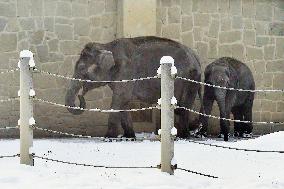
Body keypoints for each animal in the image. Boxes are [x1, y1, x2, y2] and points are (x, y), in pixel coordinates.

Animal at [64, 36, 202, 138]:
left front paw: (108, 137)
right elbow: (124, 103)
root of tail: (196, 57)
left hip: (189, 79)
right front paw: (128, 137)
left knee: (183, 107)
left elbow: (119, 99)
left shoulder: (125, 71)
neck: (106, 46)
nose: (80, 96)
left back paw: (183, 136)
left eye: (82, 70)